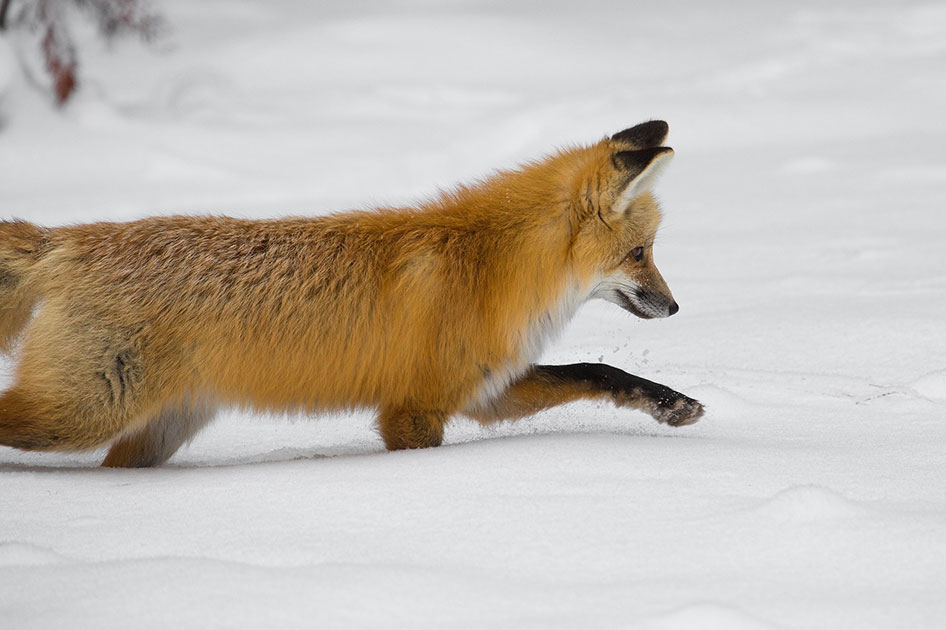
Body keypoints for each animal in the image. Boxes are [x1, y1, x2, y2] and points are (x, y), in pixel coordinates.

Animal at [0, 120, 704, 468]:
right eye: (640, 254)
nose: (675, 307)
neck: (493, 265)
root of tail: (68, 240)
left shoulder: (482, 391)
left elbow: (596, 370)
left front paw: (671, 405)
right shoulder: (412, 411)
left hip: (156, 430)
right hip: (82, 412)